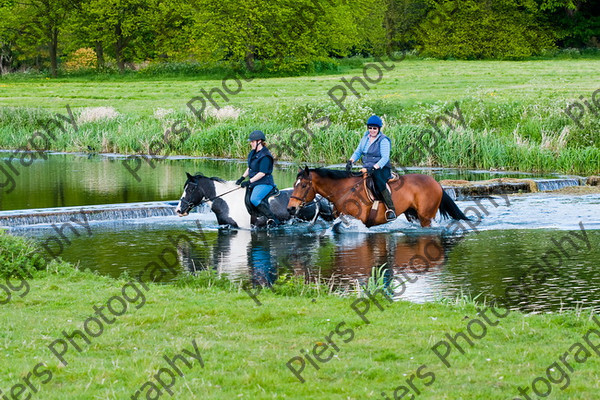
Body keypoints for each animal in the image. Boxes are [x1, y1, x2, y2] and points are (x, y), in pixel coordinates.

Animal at [288, 166, 468, 228]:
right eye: (294, 184)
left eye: (303, 186)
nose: (291, 208)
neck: (344, 190)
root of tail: (436, 183)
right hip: (412, 214)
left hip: (425, 216)